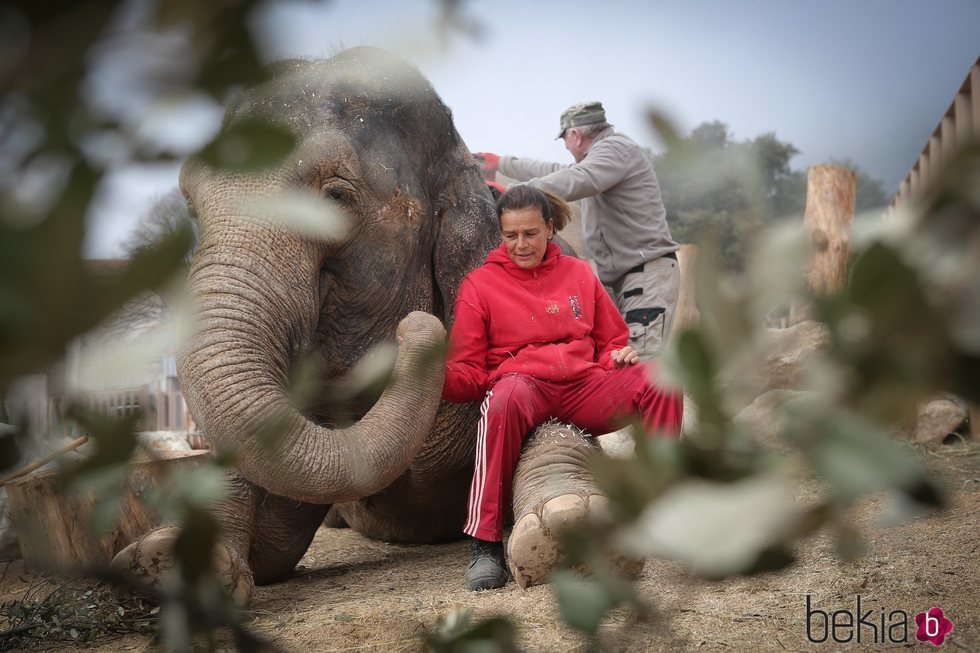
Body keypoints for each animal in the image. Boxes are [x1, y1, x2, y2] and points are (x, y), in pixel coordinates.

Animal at [113, 47, 628, 608]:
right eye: (190, 206)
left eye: (336, 195)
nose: (416, 331)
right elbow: (274, 536)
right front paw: (164, 558)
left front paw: (568, 529)